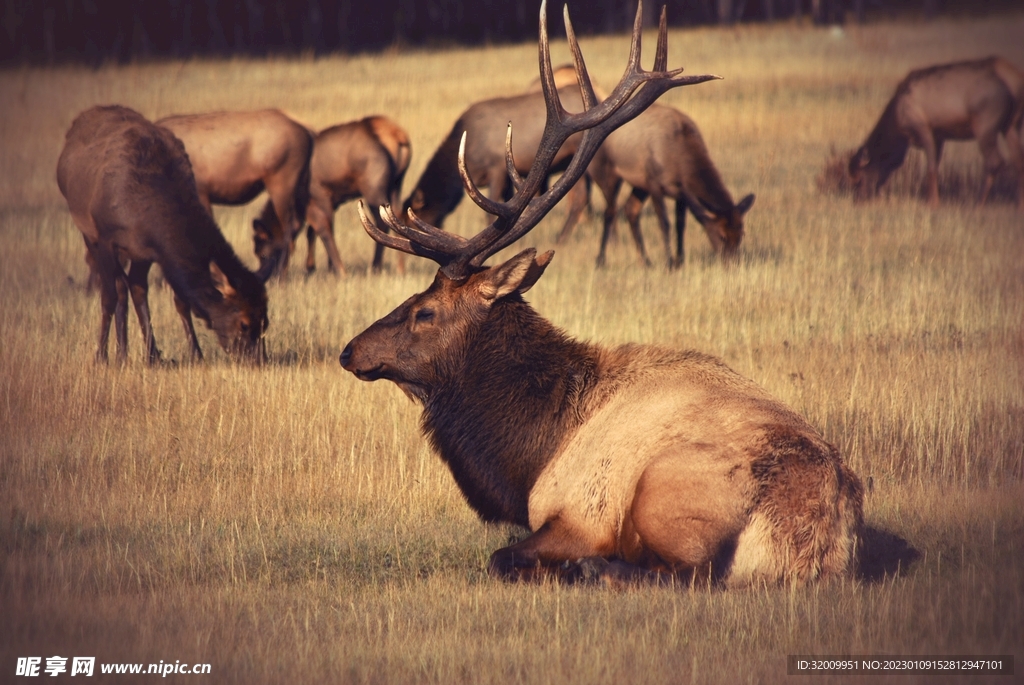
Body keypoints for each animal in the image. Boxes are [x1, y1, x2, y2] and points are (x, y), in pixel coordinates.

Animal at [58, 105, 269, 364]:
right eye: (244, 324)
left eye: (266, 321)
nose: (259, 360)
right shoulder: (106, 239)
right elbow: (107, 298)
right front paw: (100, 356)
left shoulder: (152, 251)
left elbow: (179, 300)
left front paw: (194, 353)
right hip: (88, 233)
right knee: (119, 287)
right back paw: (120, 354)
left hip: (135, 254)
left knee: (132, 287)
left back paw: (139, 353)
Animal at [254, 116, 412, 275]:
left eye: (263, 253)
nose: (272, 274)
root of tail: (398, 136)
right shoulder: (331, 200)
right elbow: (312, 231)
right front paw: (312, 267)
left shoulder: (320, 195)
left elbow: (323, 228)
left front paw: (335, 270)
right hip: (396, 185)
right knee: (398, 216)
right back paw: (400, 268)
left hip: (372, 189)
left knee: (381, 222)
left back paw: (375, 267)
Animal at [340, 1, 863, 587]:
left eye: (424, 311)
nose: (349, 350)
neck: (529, 453)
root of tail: (818, 541)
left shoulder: (577, 512)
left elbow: (503, 555)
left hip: (665, 490)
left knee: (678, 572)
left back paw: (589, 569)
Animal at [848, 56, 1024, 208]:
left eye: (859, 179)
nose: (857, 201)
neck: (897, 124)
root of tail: (1014, 81)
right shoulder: (940, 136)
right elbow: (936, 166)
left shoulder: (924, 129)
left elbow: (931, 167)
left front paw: (933, 202)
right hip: (1011, 126)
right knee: (1018, 160)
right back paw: (1018, 205)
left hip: (985, 125)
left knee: (995, 161)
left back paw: (978, 203)